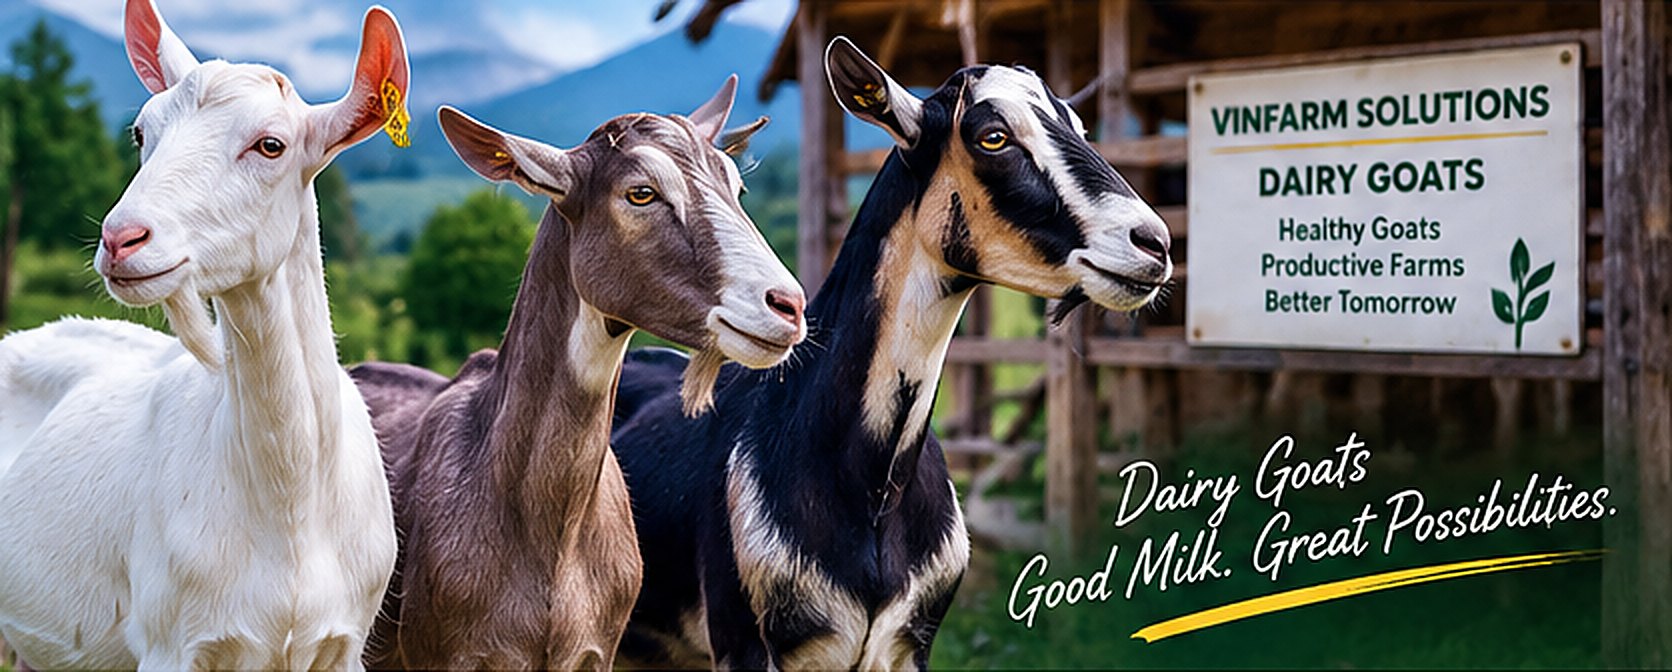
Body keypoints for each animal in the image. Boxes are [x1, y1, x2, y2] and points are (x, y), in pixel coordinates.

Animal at [0, 1, 408, 668]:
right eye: (141, 133)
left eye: (270, 145)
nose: (122, 238)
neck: (291, 505)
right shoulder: (173, 641)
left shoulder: (344, 642)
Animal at [610, 37, 1174, 670]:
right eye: (993, 136)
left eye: (1078, 125)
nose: (1153, 243)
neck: (870, 489)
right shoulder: (745, 639)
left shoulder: (908, 644)